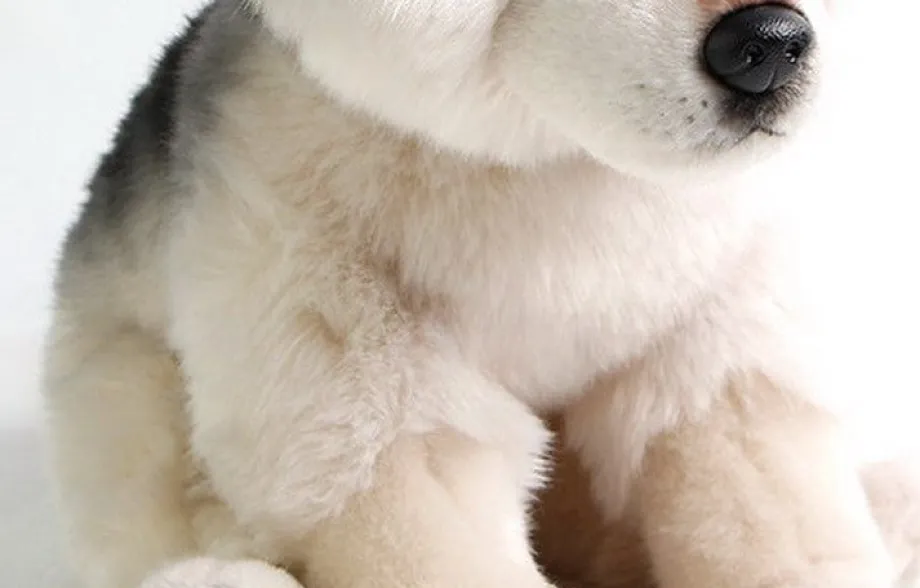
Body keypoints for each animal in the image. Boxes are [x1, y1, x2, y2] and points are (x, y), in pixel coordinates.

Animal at [41, 0, 918, 587]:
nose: (767, 42)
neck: (556, 172)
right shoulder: (349, 370)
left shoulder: (715, 339)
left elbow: (764, 498)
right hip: (127, 400)